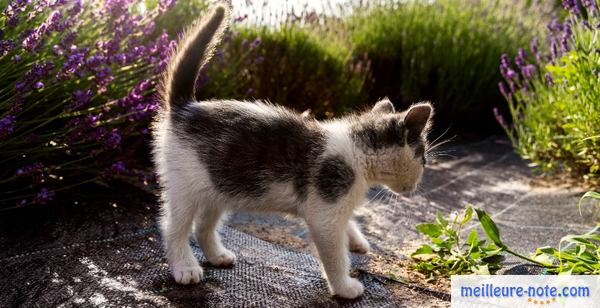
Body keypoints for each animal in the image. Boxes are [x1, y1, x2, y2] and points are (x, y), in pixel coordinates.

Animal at [150, 4, 432, 298]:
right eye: (423, 157)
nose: (420, 179)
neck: (357, 152)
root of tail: (186, 107)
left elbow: (348, 224)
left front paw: (357, 240)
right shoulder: (324, 215)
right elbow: (335, 254)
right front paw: (344, 287)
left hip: (218, 185)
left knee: (203, 226)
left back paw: (217, 255)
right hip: (185, 186)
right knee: (174, 227)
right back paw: (185, 267)